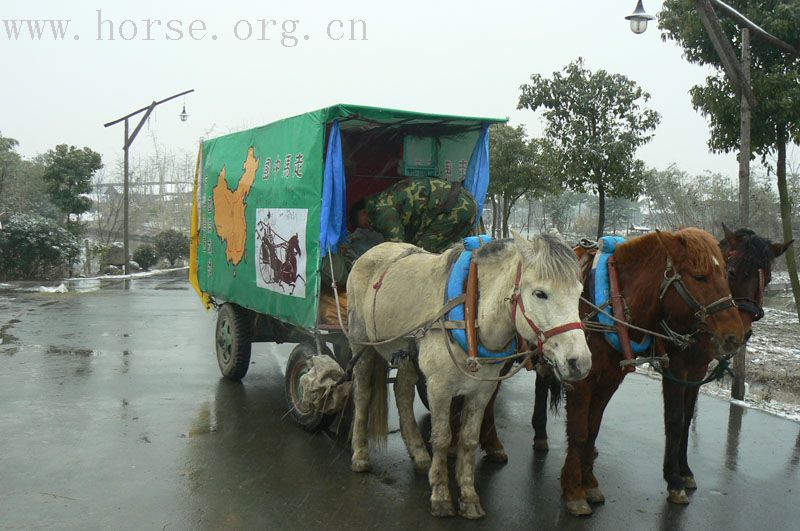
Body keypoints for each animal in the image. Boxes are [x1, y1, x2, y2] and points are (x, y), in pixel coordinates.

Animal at [346, 233, 592, 520]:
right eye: (540, 293)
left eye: (579, 293)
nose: (579, 362)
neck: (471, 313)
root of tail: (373, 250)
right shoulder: (439, 388)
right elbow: (442, 439)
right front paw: (441, 494)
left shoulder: (482, 391)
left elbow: (469, 439)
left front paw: (468, 495)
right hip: (361, 345)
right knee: (363, 393)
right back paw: (360, 454)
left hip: (408, 354)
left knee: (403, 393)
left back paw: (419, 455)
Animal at [476, 228, 752, 516]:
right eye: (700, 276)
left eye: (725, 274)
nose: (736, 335)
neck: (612, 302)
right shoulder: (583, 379)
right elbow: (579, 433)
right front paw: (574, 490)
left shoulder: (610, 380)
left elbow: (593, 430)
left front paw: (589, 482)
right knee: (490, 394)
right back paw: (491, 443)